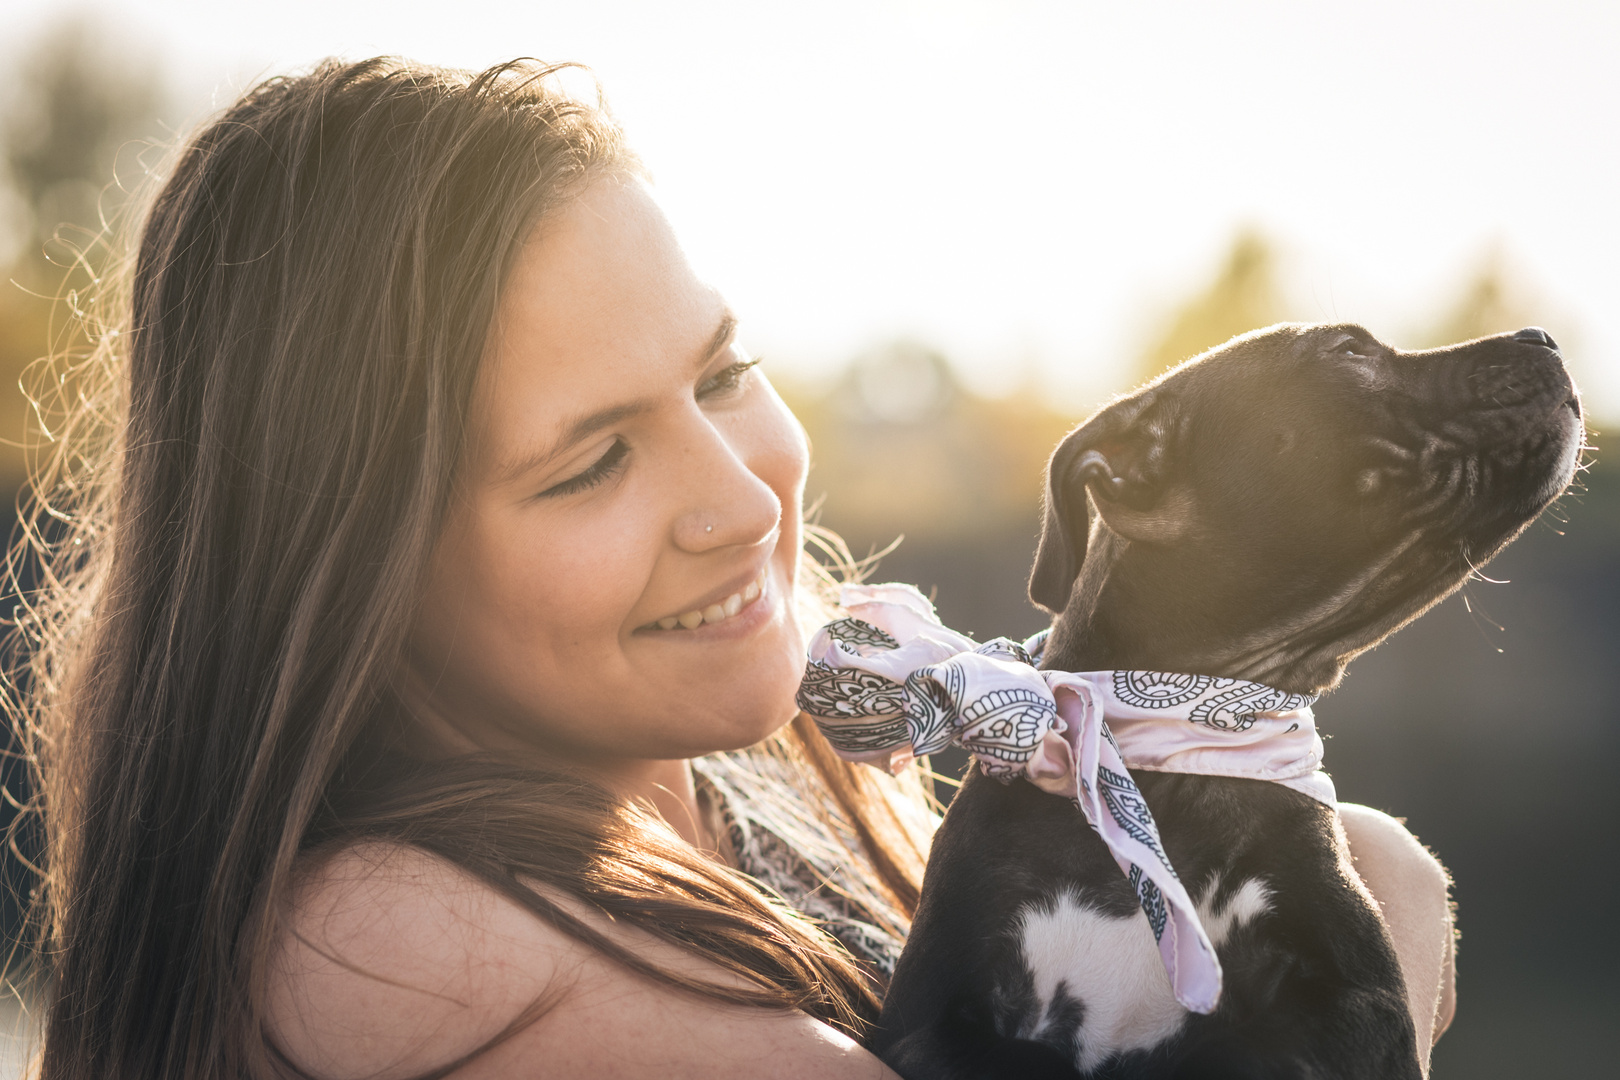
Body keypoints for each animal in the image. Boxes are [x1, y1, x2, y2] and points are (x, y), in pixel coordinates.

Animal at [874, 325, 1581, 1075]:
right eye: (1349, 349)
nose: (1541, 334)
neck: (1179, 758)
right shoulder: (925, 1022)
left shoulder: (1363, 1004)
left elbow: (1239, 1048)